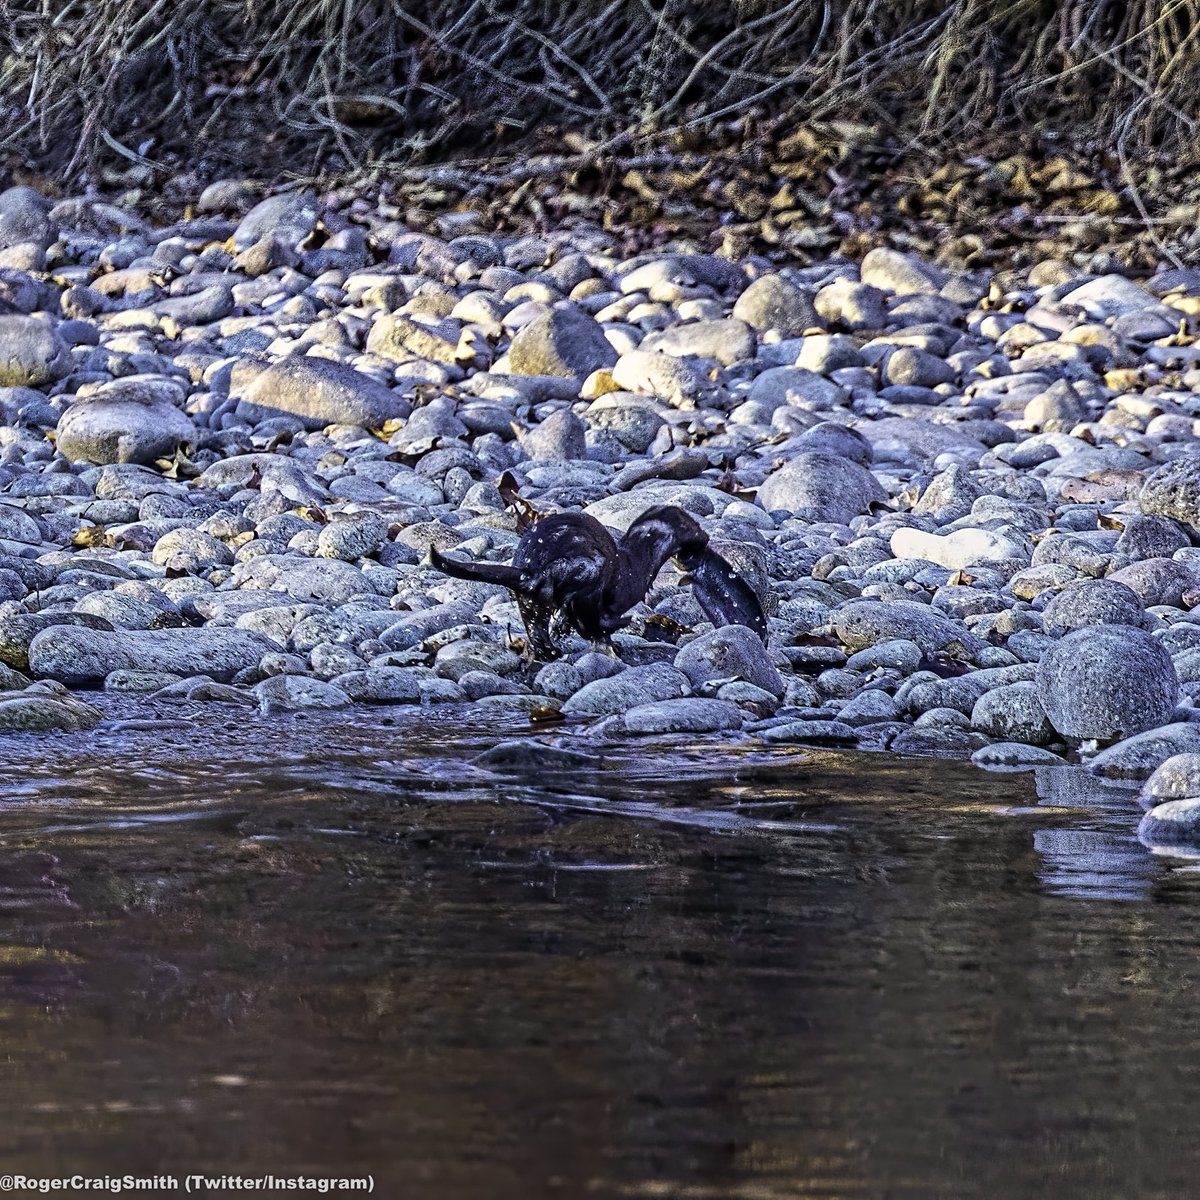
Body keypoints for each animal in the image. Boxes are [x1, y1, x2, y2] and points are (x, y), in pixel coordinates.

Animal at [428, 505, 766, 659]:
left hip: (528, 599)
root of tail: (533, 569)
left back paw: (550, 650)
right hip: (589, 568)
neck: (635, 563)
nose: (706, 538)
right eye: (694, 527)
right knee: (587, 617)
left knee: (538, 626)